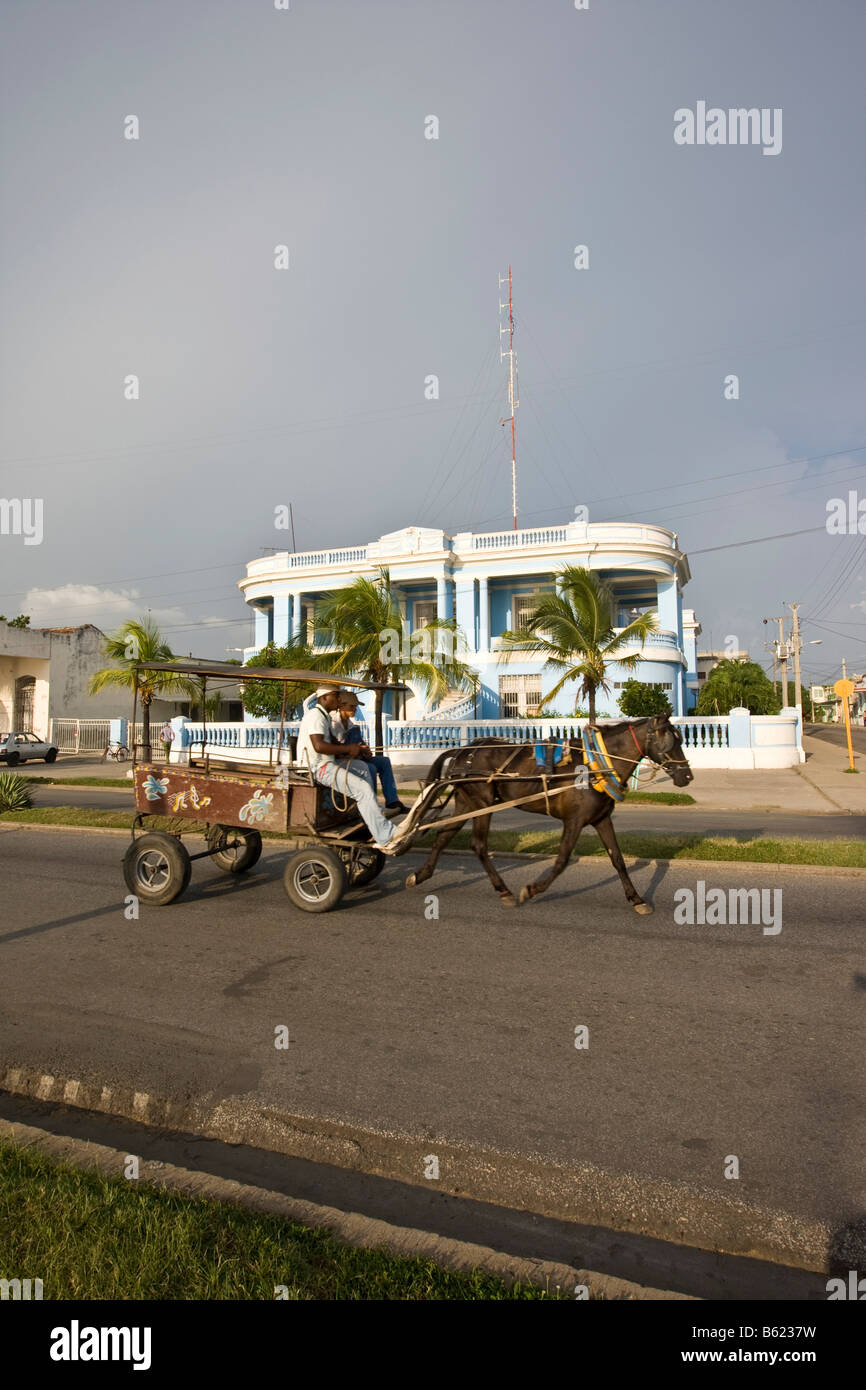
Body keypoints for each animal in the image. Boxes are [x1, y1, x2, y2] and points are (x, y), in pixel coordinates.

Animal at [403, 717, 695, 911]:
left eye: (681, 739)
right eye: (669, 740)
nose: (687, 776)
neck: (594, 765)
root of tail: (463, 752)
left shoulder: (601, 819)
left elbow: (618, 860)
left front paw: (636, 899)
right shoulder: (574, 820)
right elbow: (562, 860)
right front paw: (532, 889)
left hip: (467, 802)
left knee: (444, 835)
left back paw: (421, 874)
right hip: (481, 802)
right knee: (478, 845)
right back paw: (504, 890)